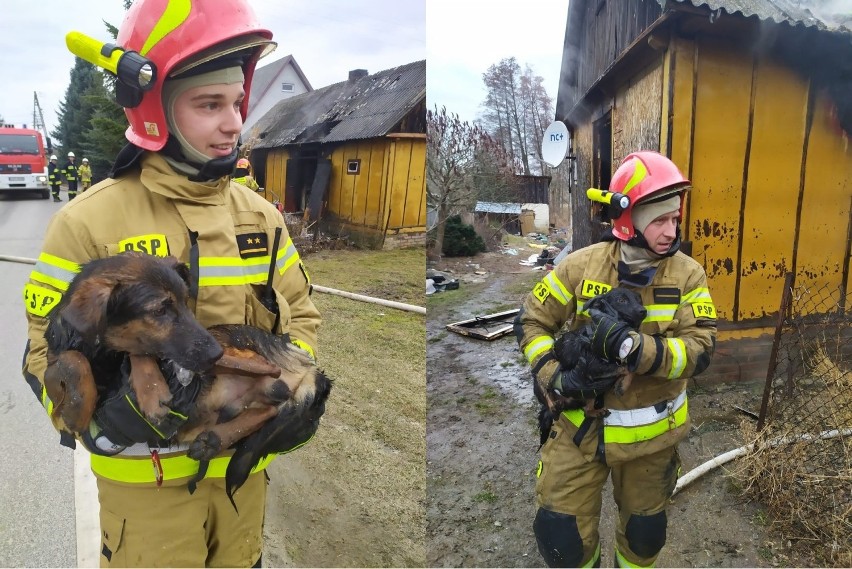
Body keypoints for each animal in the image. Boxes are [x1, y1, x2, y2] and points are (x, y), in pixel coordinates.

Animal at [43, 253, 332, 496]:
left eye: (185, 303)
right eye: (159, 310)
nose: (214, 353)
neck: (104, 355)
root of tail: (309, 369)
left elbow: (138, 351)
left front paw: (151, 390)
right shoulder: (57, 359)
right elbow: (68, 361)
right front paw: (75, 407)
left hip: (229, 340)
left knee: (261, 370)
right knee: (268, 409)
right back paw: (213, 439)